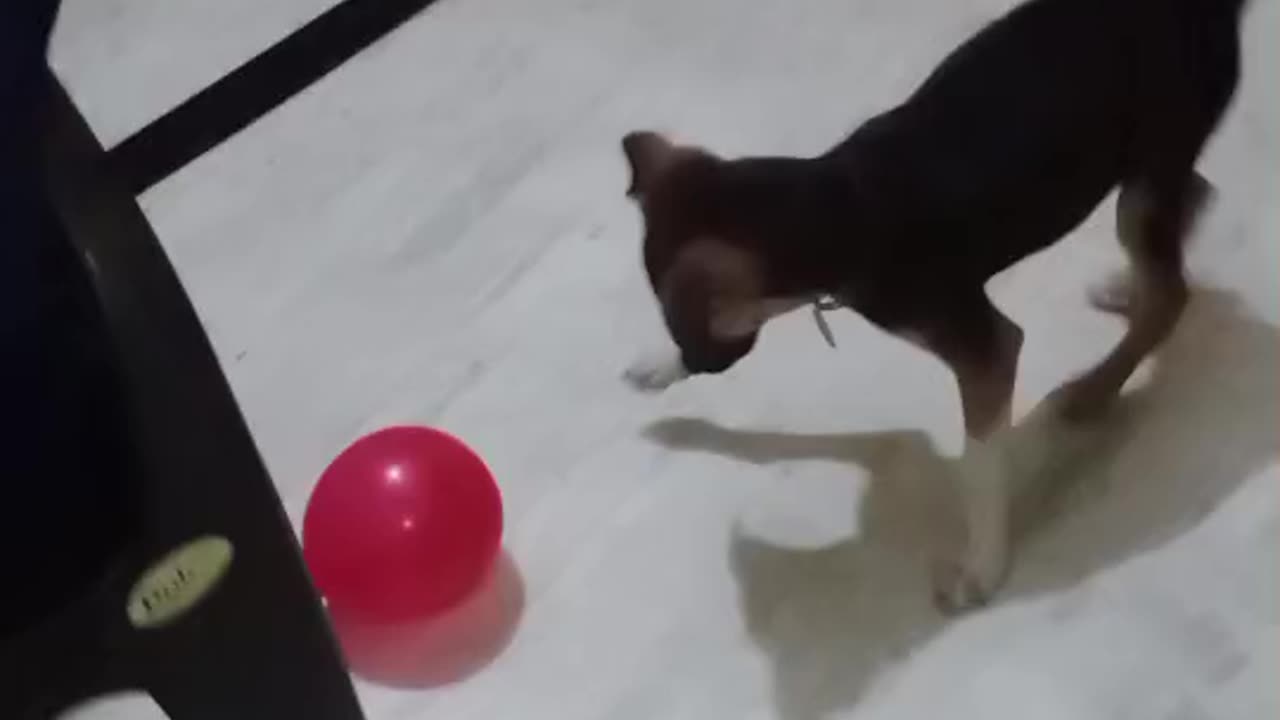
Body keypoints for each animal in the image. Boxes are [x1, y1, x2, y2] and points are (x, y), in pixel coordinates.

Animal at [622, 0, 1249, 609]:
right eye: (680, 330)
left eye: (698, 325)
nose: (698, 361)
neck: (837, 199)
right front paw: (660, 367)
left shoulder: (985, 348)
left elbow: (979, 467)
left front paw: (983, 570)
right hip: (1149, 173)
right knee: (1190, 209)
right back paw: (1126, 290)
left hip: (1153, 161)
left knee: (1171, 292)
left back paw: (1095, 389)